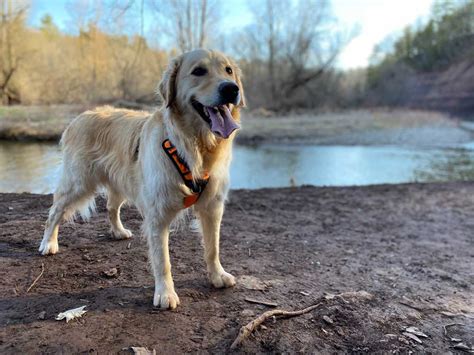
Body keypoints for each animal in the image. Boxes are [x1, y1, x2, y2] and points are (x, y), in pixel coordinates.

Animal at [38, 48, 244, 310]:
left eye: (228, 70)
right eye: (199, 71)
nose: (231, 89)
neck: (192, 146)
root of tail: (79, 117)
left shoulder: (212, 206)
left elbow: (213, 247)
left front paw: (217, 275)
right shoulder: (158, 215)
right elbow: (163, 260)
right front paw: (165, 294)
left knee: (111, 206)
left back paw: (118, 231)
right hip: (78, 182)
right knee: (54, 212)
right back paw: (48, 243)